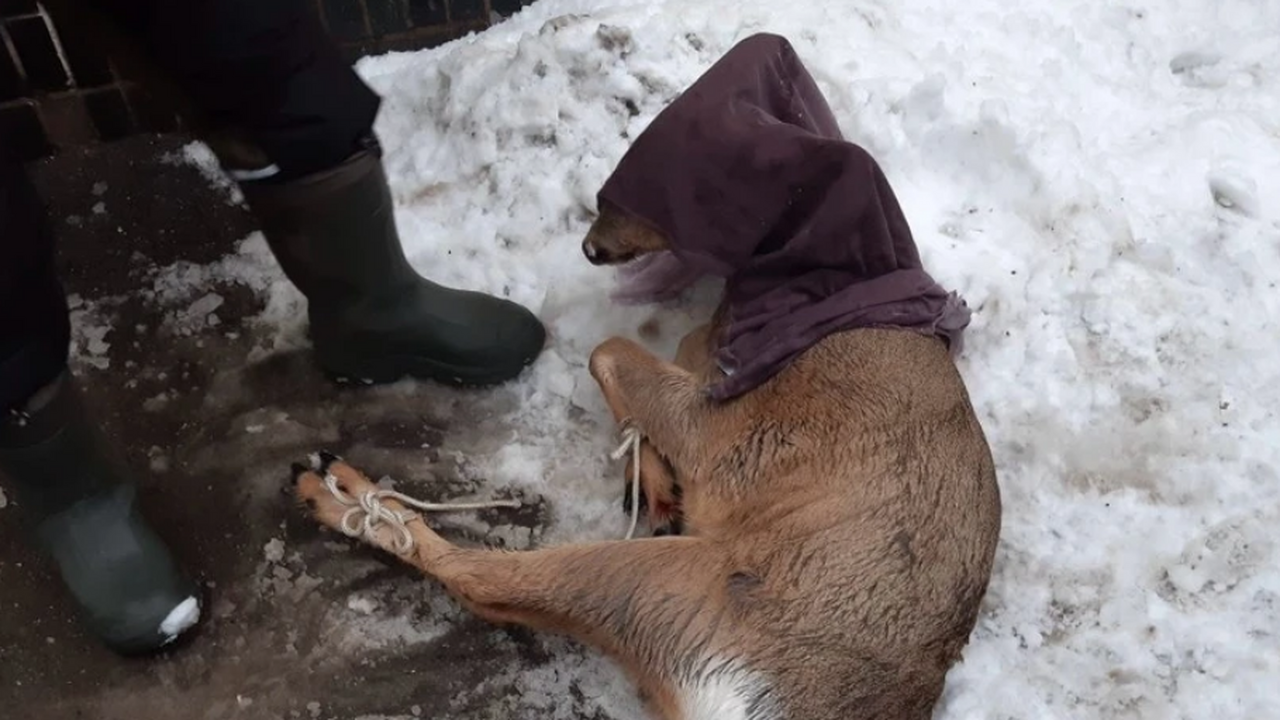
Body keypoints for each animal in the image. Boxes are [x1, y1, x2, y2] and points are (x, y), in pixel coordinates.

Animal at [290, 30, 998, 712]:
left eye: (640, 197)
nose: (589, 248)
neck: (828, 284)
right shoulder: (708, 358)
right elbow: (664, 354)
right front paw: (651, 477)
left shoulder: (730, 429)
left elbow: (607, 350)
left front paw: (653, 476)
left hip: (665, 585)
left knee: (480, 580)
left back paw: (337, 491)